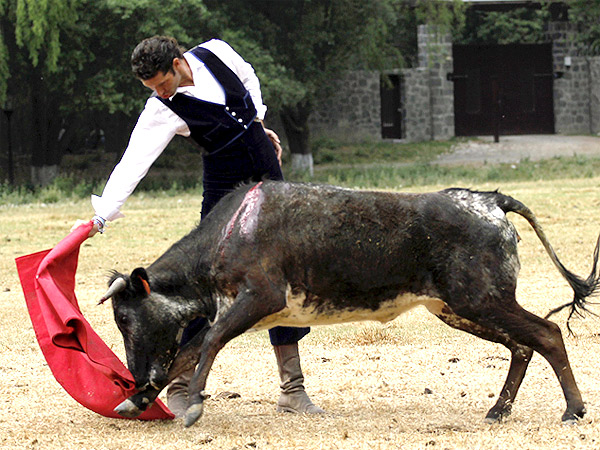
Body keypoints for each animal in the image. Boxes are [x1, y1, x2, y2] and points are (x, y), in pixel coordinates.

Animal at [102, 181, 600, 428]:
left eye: (124, 317)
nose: (134, 375)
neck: (230, 233)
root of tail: (490, 201)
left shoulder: (256, 299)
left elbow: (205, 347)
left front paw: (192, 408)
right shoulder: (238, 310)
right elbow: (187, 352)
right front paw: (136, 402)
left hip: (480, 299)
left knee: (545, 334)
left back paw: (572, 411)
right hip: (458, 308)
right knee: (521, 345)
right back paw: (499, 411)